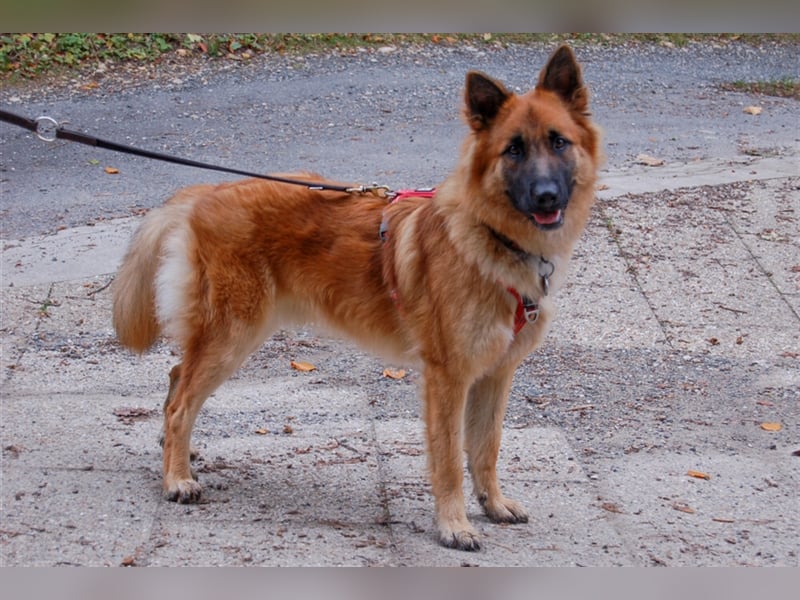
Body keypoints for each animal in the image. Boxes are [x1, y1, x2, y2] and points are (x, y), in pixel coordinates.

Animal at [111, 45, 600, 552]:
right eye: (514, 149)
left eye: (559, 142)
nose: (546, 197)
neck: (489, 237)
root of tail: (206, 191)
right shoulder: (447, 379)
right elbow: (448, 458)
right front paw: (453, 524)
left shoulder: (495, 375)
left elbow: (487, 447)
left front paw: (493, 504)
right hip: (233, 336)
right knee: (180, 404)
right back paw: (176, 478)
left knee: (175, 379)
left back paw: (177, 456)